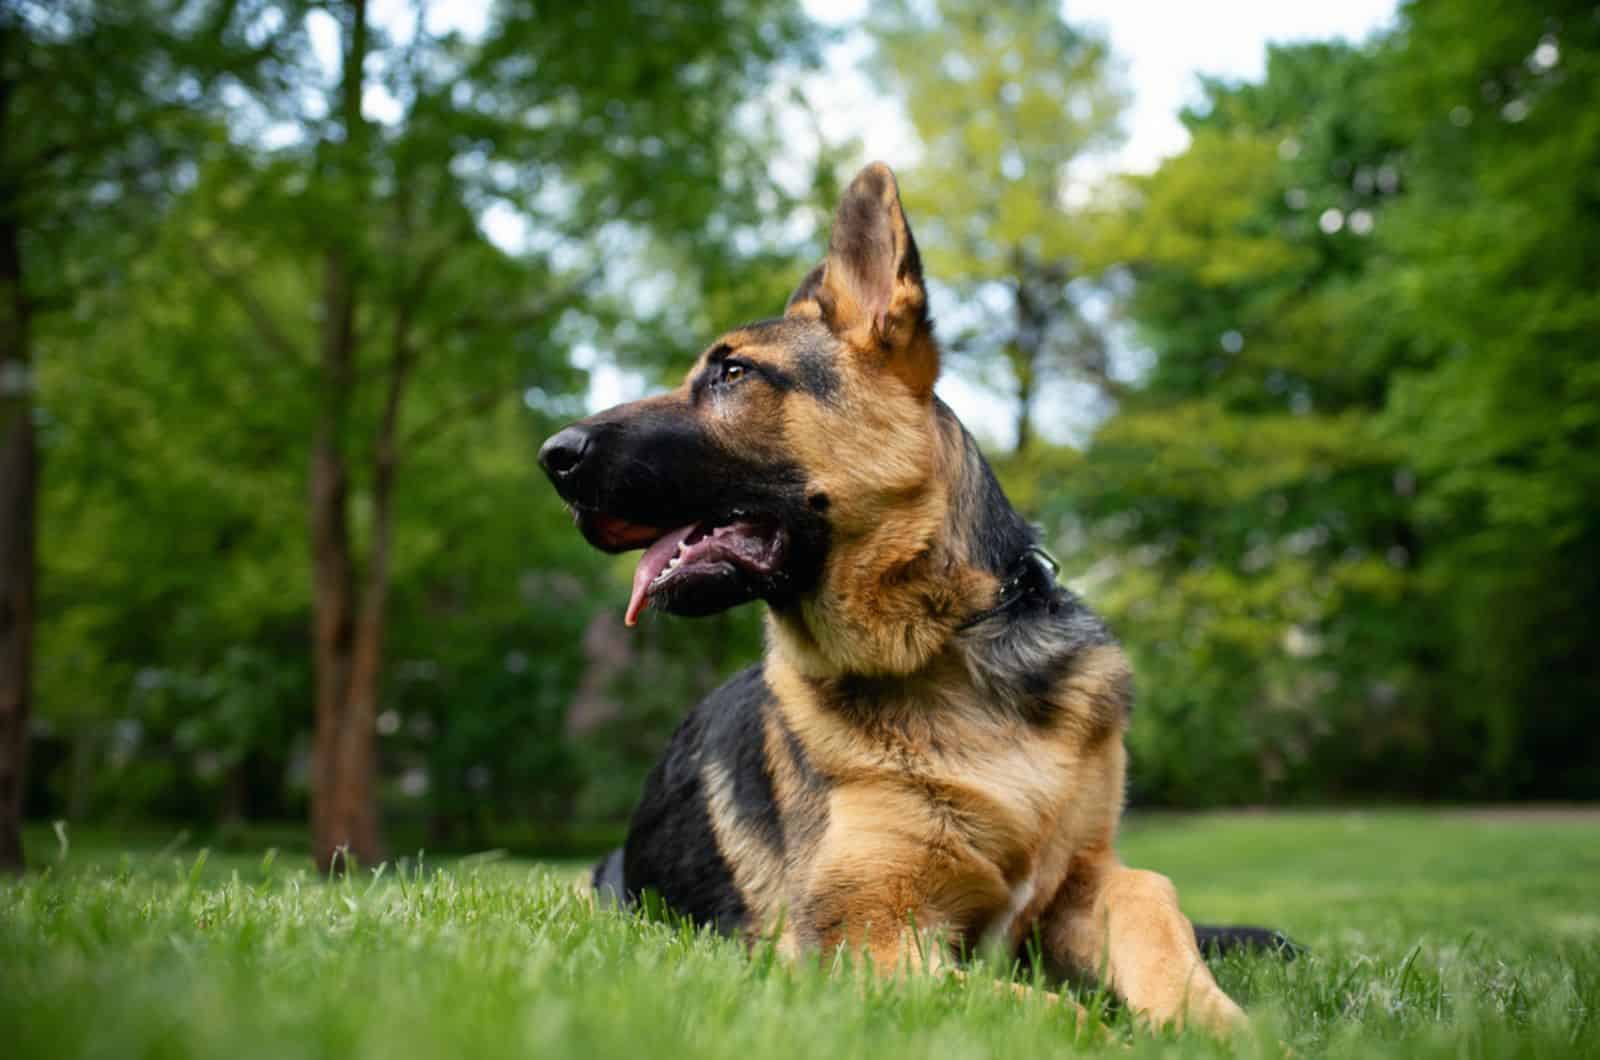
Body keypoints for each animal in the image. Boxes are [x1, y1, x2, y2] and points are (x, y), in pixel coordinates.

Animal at [537, 166, 1286, 1037]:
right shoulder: (872, 942)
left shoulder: (1093, 880)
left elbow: (1162, 922)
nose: (552, 455)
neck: (947, 651)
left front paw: (1225, 1031)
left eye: (732, 373)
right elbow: (1053, 1013)